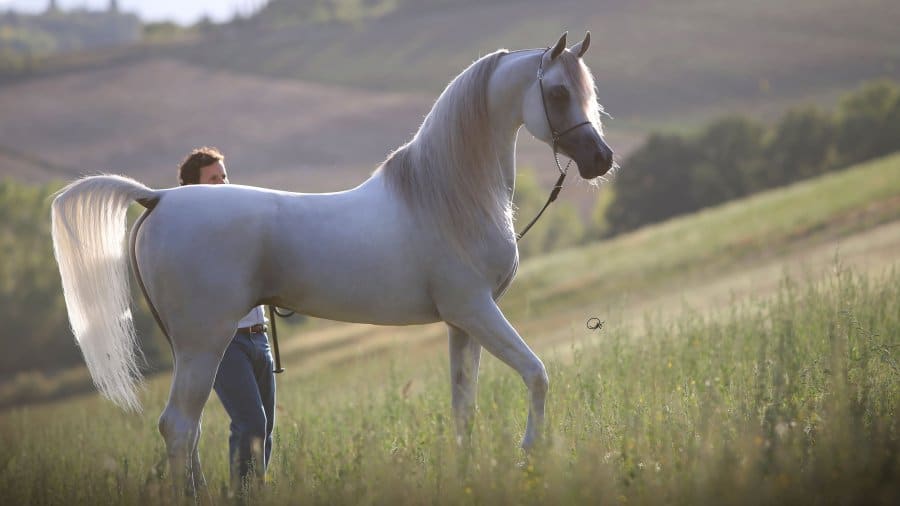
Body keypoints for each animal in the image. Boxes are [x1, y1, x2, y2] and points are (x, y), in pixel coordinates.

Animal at [50, 32, 614, 496]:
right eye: (557, 93)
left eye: (588, 91)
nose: (600, 160)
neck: (445, 195)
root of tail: (159, 197)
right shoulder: (476, 311)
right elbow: (537, 374)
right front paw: (530, 455)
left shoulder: (462, 324)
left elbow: (464, 410)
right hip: (202, 344)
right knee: (179, 427)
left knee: (189, 431)